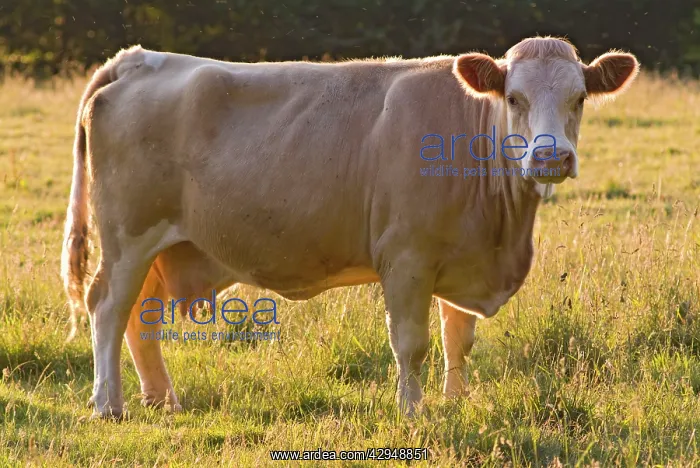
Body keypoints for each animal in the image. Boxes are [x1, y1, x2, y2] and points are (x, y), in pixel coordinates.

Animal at [61, 36, 638, 419]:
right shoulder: (406, 258)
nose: (550, 157)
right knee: (108, 308)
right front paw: (412, 413)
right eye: (514, 98)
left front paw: (455, 402)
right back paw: (107, 405)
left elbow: (458, 339)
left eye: (579, 98)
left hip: (167, 246)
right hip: (127, 237)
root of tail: (137, 59)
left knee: (141, 318)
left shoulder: (461, 254)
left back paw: (163, 400)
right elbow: (412, 343)